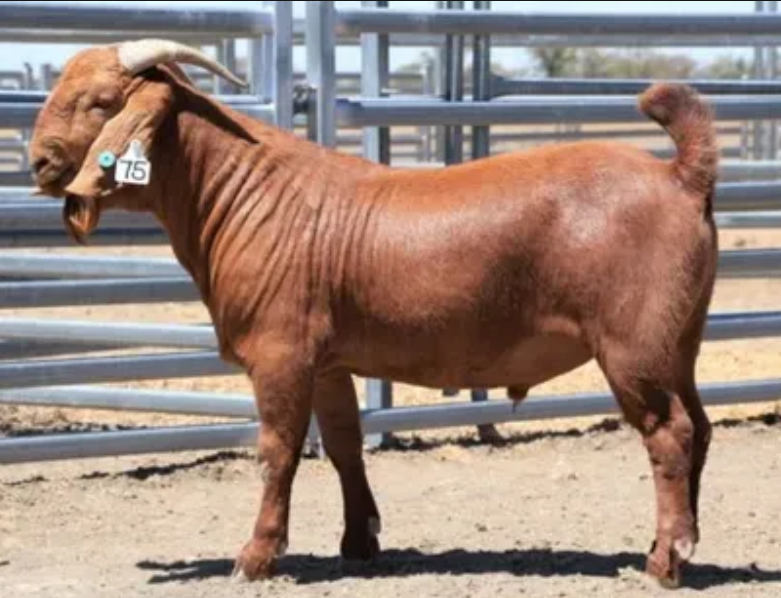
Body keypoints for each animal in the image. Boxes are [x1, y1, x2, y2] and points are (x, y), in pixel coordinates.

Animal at [29, 39, 720, 589]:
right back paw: (681, 545)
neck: (245, 194)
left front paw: (255, 557)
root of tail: (679, 174)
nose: (37, 160)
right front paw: (359, 543)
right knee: (702, 428)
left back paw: (665, 559)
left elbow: (277, 450)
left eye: (101, 102)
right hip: (679, 340)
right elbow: (344, 446)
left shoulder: (280, 352)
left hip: (633, 346)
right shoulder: (329, 360)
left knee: (670, 433)